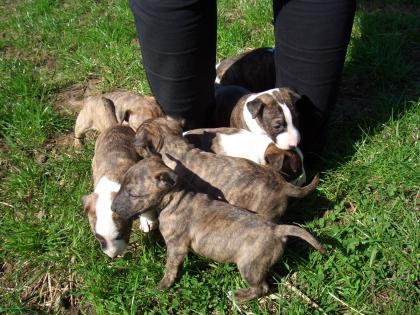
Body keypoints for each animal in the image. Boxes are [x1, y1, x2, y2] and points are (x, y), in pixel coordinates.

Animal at [110, 158, 324, 304]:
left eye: (132, 194)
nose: (112, 208)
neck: (175, 198)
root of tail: (277, 230)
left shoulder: (176, 246)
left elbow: (170, 267)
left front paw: (163, 285)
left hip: (249, 266)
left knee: (262, 287)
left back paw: (238, 296)